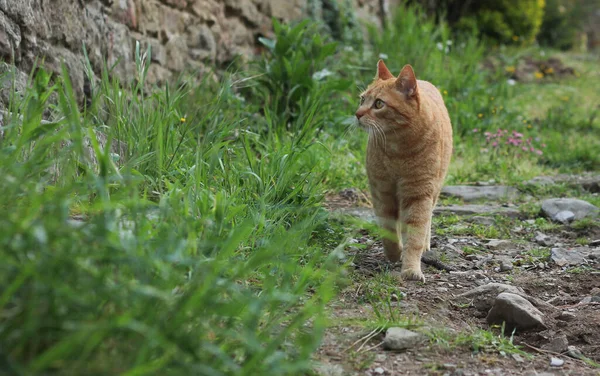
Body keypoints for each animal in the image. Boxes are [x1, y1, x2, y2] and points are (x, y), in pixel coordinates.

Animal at [356, 60, 450, 280]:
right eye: (362, 99)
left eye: (378, 104)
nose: (357, 114)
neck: (397, 150)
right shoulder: (382, 193)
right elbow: (388, 230)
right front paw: (393, 254)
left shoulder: (418, 194)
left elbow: (415, 234)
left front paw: (410, 269)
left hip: (432, 191)